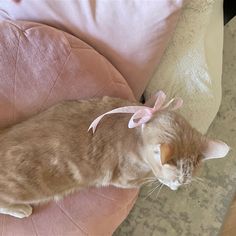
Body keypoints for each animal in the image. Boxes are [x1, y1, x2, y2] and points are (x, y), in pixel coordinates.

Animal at [0, 95, 230, 218]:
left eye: (186, 181)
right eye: (177, 180)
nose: (179, 187)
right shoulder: (125, 180)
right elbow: (147, 179)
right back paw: (20, 210)